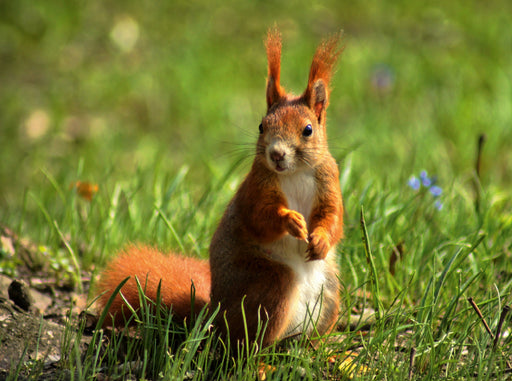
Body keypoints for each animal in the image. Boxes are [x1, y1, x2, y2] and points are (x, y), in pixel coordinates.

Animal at [96, 29, 344, 348]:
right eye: (262, 126)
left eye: (308, 130)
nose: (276, 154)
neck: (295, 173)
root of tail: (214, 317)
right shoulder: (256, 188)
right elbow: (259, 217)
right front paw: (290, 220)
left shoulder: (329, 182)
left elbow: (333, 218)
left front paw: (321, 240)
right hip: (270, 284)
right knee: (250, 341)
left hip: (330, 293)